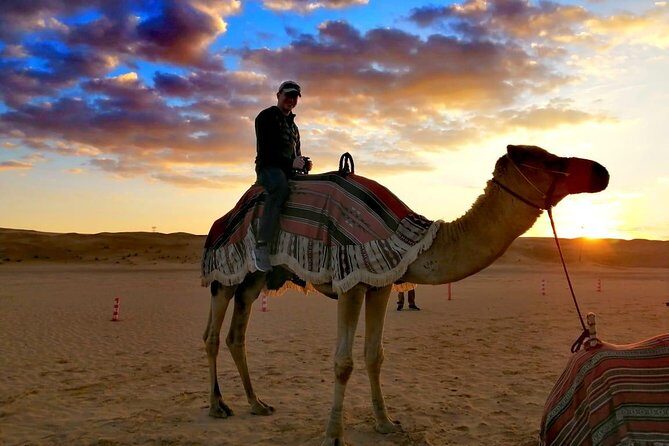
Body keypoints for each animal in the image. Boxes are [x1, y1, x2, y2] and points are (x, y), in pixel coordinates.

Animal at [201, 144, 610, 446]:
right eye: (546, 159)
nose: (601, 171)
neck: (413, 243)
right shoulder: (351, 277)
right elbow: (343, 362)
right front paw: (334, 436)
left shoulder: (380, 283)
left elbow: (374, 356)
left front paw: (385, 423)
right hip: (224, 271)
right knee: (212, 335)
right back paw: (218, 406)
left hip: (255, 280)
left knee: (237, 334)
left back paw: (256, 403)